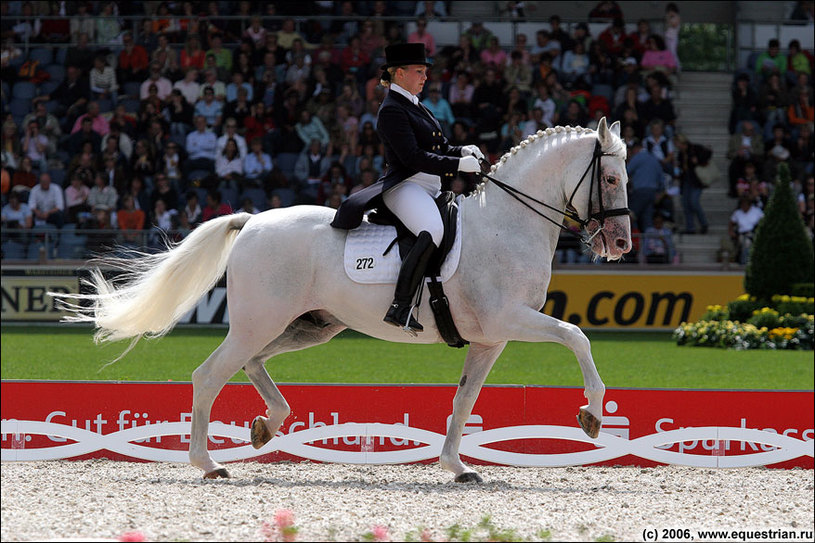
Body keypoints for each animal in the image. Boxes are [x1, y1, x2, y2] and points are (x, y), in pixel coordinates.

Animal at [54, 118, 636, 480]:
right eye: (610, 177)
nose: (621, 244)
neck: (507, 225)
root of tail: (252, 221)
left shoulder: (489, 338)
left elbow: (464, 400)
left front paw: (457, 466)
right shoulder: (511, 318)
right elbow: (576, 335)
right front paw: (592, 415)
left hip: (310, 324)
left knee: (253, 364)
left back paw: (267, 424)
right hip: (260, 320)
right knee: (211, 373)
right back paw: (209, 463)